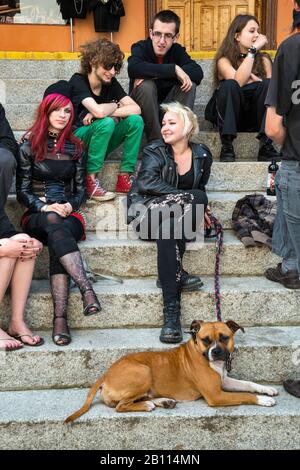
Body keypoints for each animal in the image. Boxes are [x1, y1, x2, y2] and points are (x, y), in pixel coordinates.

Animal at [64, 320, 278, 422]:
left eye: (224, 337)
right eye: (206, 340)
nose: (216, 352)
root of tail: (105, 375)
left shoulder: (224, 381)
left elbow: (248, 384)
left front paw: (267, 390)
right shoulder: (216, 395)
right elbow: (244, 395)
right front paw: (264, 400)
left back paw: (163, 401)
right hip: (143, 371)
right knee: (121, 406)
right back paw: (147, 405)